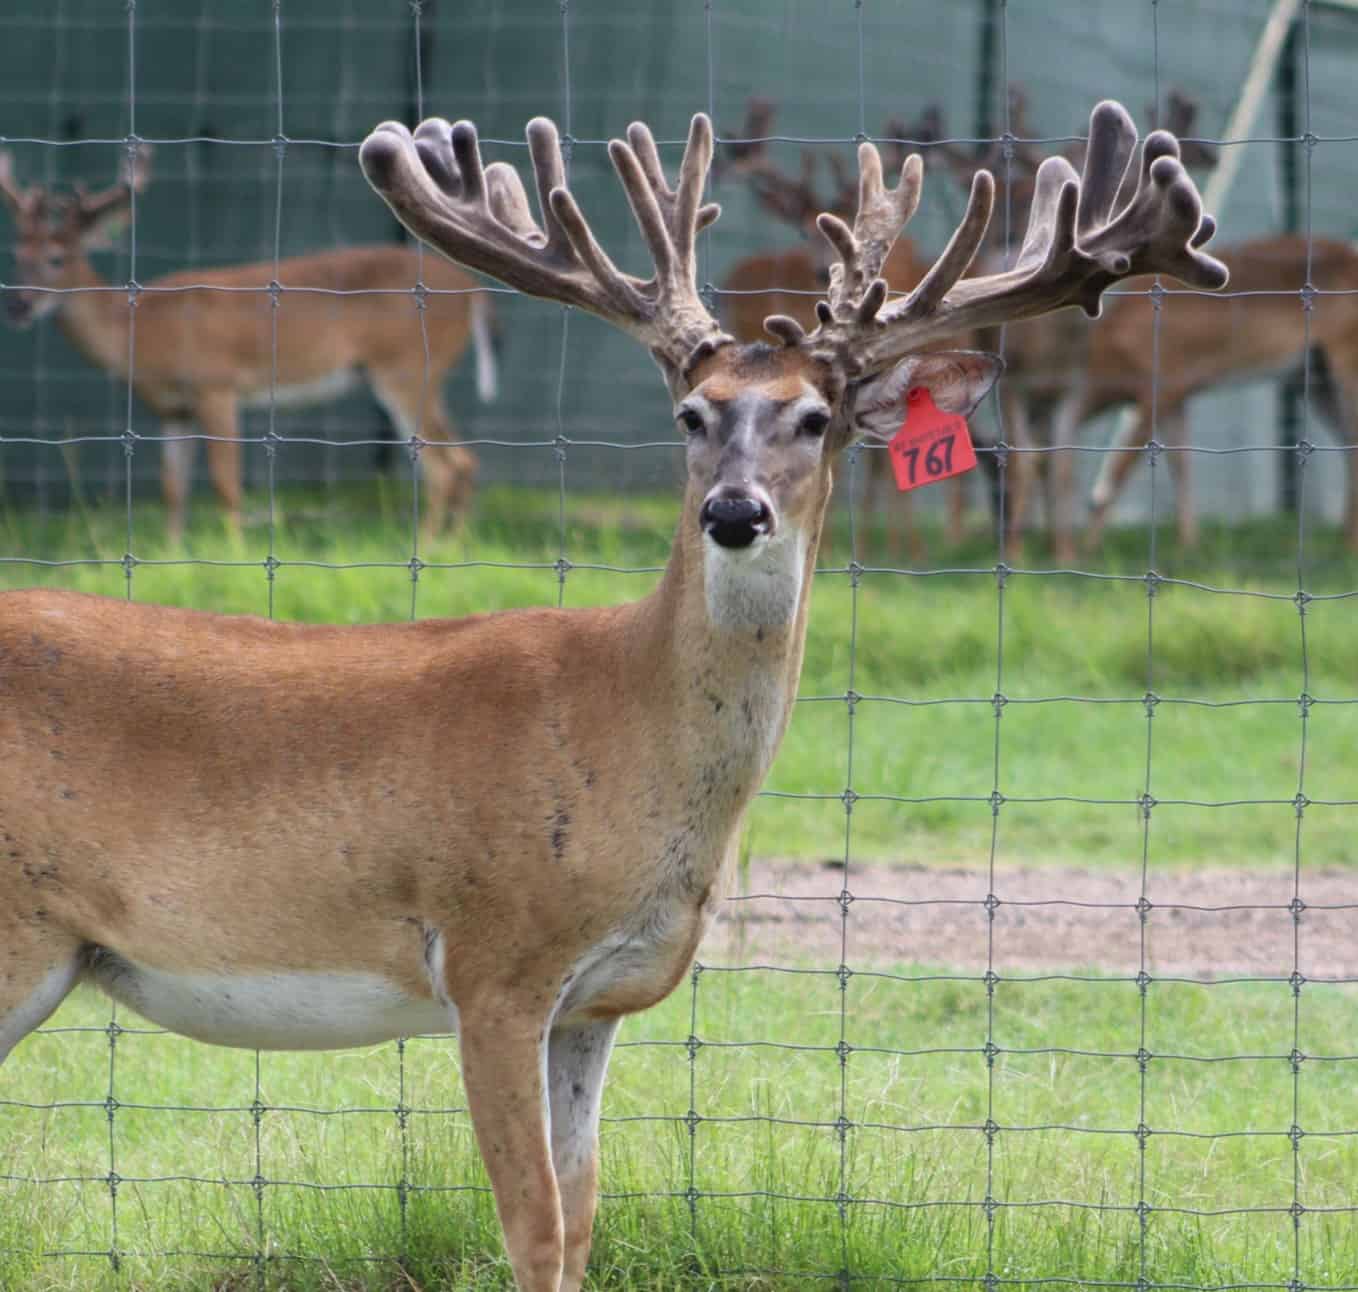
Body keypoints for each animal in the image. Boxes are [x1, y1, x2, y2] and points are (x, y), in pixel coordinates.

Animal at [0, 148, 494, 541]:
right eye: (18, 256)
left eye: (56, 259)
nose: (19, 306)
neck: (139, 330)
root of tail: (473, 291)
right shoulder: (172, 409)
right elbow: (173, 487)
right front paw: (172, 553)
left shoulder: (217, 385)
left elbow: (226, 482)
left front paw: (234, 548)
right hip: (426, 373)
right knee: (465, 459)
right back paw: (456, 544)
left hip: (402, 366)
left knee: (442, 466)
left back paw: (430, 546)